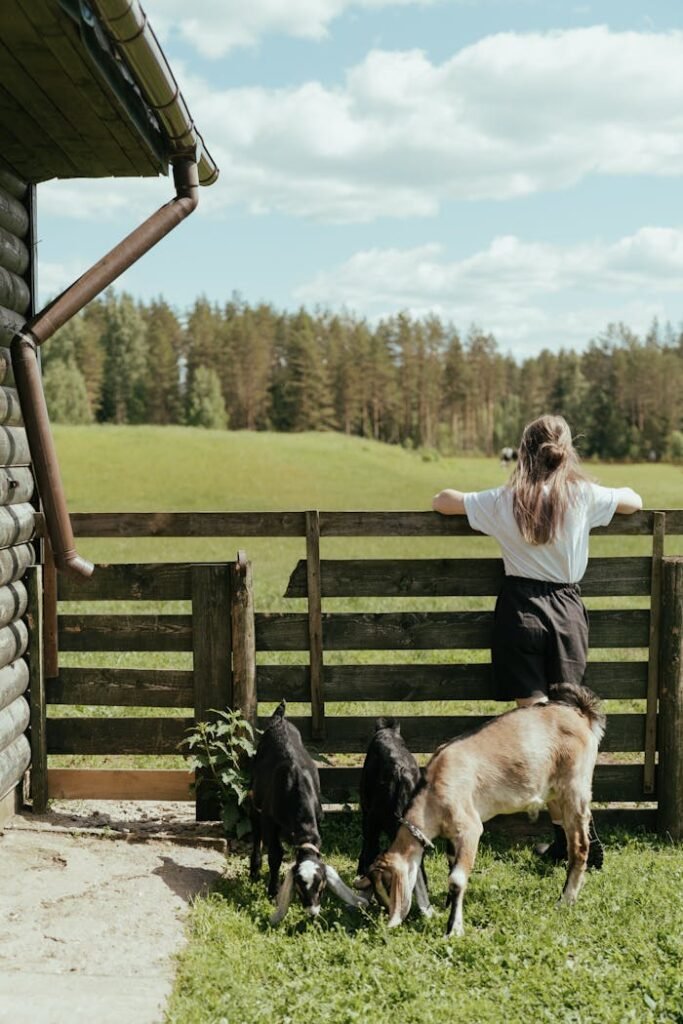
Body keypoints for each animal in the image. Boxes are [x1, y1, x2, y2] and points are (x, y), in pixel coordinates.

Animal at [250, 700, 368, 925]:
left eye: (321, 888)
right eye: (299, 888)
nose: (313, 912)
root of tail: (280, 718)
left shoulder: (319, 816)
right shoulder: (269, 819)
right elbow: (275, 854)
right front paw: (272, 891)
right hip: (254, 798)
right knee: (255, 832)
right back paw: (254, 870)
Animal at [370, 684, 606, 937]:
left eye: (387, 884)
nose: (387, 920)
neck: (433, 793)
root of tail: (581, 715)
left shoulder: (470, 828)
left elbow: (456, 879)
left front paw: (453, 929)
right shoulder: (453, 836)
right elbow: (451, 865)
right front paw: (448, 908)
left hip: (574, 787)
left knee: (579, 846)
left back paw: (565, 900)